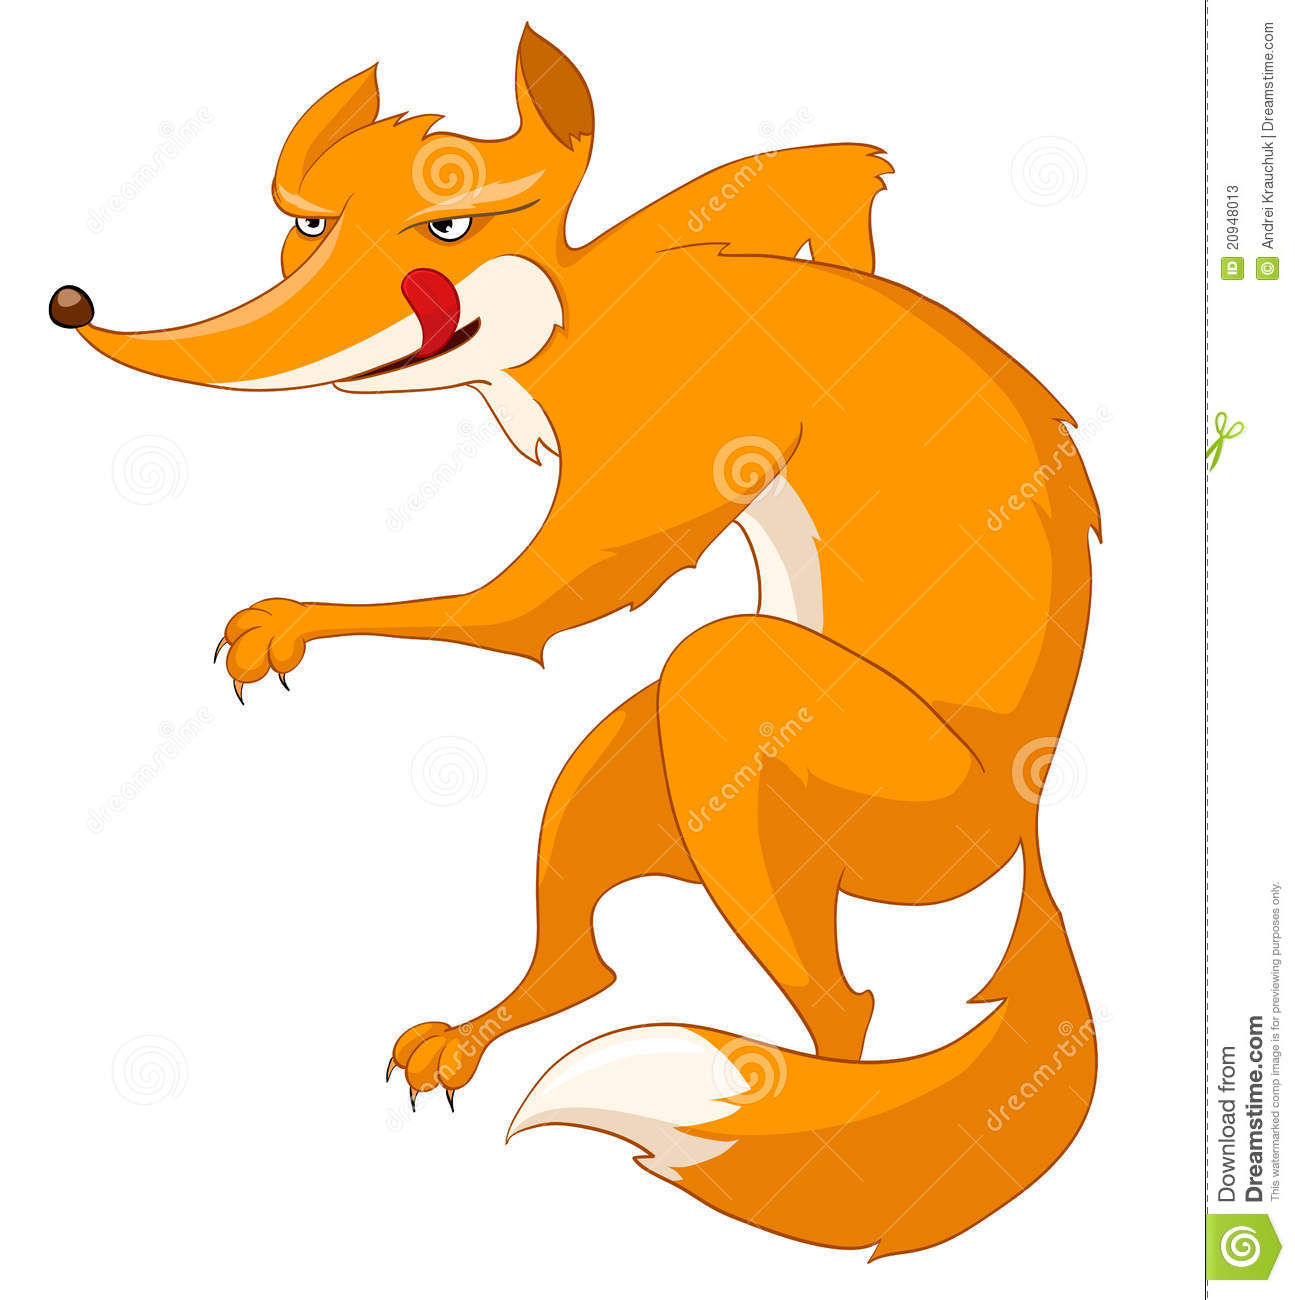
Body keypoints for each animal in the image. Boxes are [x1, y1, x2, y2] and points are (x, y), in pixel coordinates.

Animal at [50, 26, 1100, 1257]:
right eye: (308, 227)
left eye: (445, 229)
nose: (71, 306)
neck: (579, 318)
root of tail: (1028, 827)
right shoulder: (762, 203)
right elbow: (825, 181)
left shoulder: (654, 470)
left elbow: (504, 609)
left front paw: (292, 620)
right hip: (634, 766)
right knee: (588, 964)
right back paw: (469, 1037)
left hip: (766, 708)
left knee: (843, 1002)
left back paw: (809, 1120)